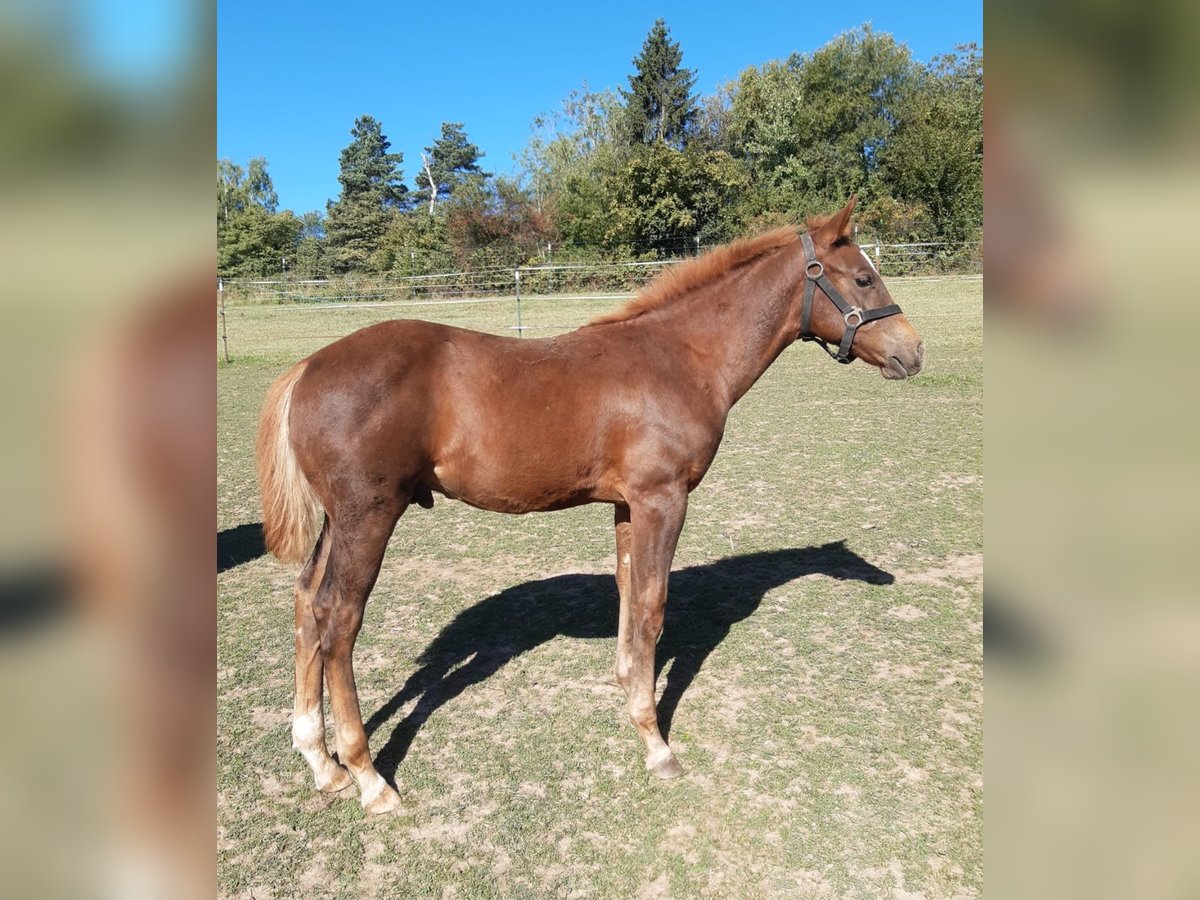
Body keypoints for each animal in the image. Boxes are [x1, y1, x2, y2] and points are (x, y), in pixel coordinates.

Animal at [255, 196, 924, 814]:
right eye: (862, 278)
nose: (913, 352)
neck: (684, 357)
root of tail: (307, 368)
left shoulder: (629, 505)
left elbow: (629, 596)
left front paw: (631, 698)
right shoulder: (662, 499)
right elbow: (652, 607)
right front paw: (657, 746)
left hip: (337, 522)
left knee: (307, 602)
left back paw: (322, 762)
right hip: (368, 516)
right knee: (339, 620)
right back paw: (369, 778)